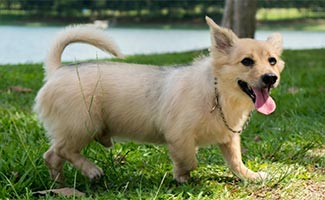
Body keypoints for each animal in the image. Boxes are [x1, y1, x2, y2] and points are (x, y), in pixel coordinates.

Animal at [34, 16, 284, 184]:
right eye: (247, 62)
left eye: (272, 61)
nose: (271, 78)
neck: (219, 94)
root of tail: (56, 71)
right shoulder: (179, 136)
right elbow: (190, 160)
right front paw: (182, 177)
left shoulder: (228, 138)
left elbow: (235, 161)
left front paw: (251, 176)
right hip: (83, 126)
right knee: (63, 150)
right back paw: (91, 170)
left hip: (76, 130)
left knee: (52, 156)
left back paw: (61, 186)